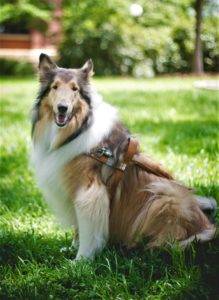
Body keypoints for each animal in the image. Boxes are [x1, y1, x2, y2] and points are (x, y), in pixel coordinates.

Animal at [30, 54, 216, 260]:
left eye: (74, 89)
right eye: (54, 87)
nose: (62, 108)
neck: (76, 130)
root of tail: (207, 228)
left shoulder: (89, 191)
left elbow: (87, 232)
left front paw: (80, 260)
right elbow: (78, 228)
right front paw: (72, 248)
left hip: (166, 195)